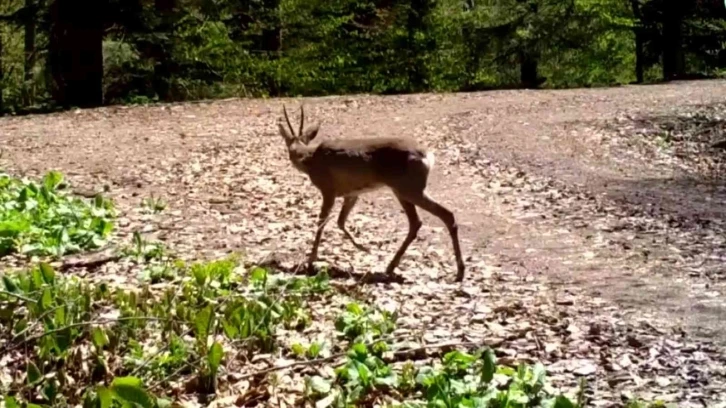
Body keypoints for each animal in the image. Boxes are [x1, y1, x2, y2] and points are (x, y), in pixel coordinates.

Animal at [278, 103, 466, 282]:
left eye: (288, 146)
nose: (292, 158)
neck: (310, 159)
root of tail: (428, 155)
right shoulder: (351, 194)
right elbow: (340, 221)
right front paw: (362, 247)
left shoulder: (328, 189)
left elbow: (322, 222)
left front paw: (311, 261)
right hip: (402, 190)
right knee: (417, 222)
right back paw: (392, 267)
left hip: (410, 188)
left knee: (445, 214)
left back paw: (458, 272)